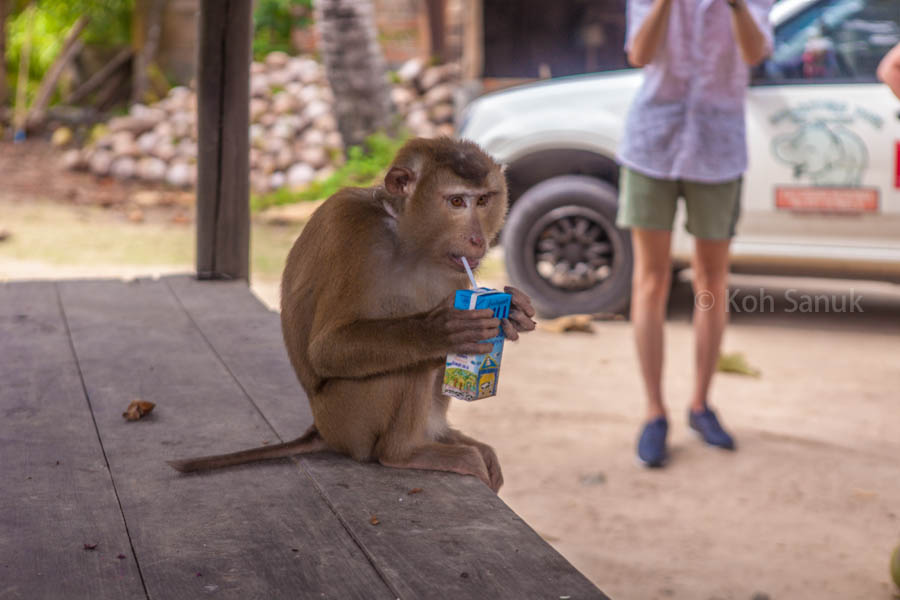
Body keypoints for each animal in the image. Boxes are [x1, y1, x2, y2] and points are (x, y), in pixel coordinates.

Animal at [168, 137, 536, 492]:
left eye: (484, 200)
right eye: (457, 202)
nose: (477, 240)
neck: (404, 233)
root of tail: (320, 429)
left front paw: (514, 314)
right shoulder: (356, 233)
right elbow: (328, 348)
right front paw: (440, 330)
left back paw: (443, 435)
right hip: (348, 421)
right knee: (409, 364)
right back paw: (405, 452)